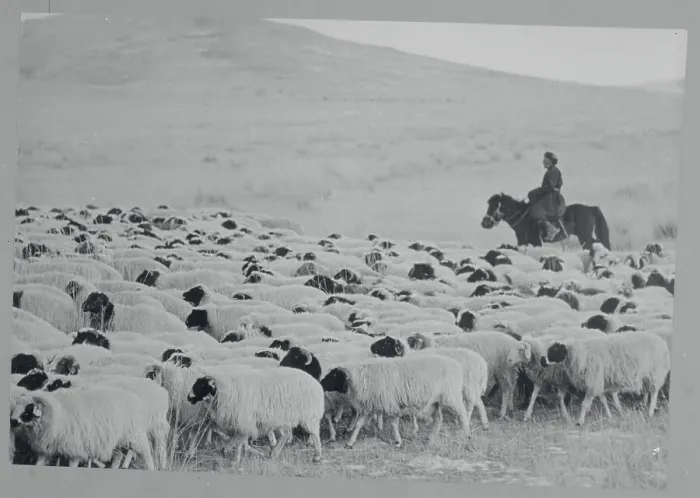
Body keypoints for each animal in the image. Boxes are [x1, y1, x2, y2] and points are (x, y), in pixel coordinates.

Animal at [10, 385, 156, 469]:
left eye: (27, 411)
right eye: (17, 406)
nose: (12, 421)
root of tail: (136, 399)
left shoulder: (74, 450)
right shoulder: (47, 450)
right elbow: (39, 464)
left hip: (135, 437)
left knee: (147, 455)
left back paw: (151, 468)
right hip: (118, 441)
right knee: (118, 457)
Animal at [186, 365, 325, 463]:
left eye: (202, 385)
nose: (189, 397)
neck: (227, 390)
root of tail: (315, 382)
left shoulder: (243, 421)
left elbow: (239, 440)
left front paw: (235, 459)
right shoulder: (240, 421)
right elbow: (236, 438)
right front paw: (226, 449)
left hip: (309, 416)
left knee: (315, 435)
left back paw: (317, 456)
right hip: (283, 419)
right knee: (285, 435)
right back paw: (273, 453)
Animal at [320, 354, 470, 449]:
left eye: (334, 375)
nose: (320, 383)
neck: (362, 378)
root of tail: (457, 365)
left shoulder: (391, 404)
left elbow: (393, 425)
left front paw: (398, 442)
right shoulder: (370, 406)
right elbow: (358, 425)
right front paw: (350, 443)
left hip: (451, 395)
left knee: (462, 413)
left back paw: (465, 433)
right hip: (436, 400)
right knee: (439, 419)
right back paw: (431, 438)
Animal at [541, 331, 671, 425]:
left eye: (555, 350)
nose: (542, 361)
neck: (581, 353)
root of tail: (662, 342)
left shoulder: (593, 381)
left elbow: (584, 404)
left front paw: (579, 421)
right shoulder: (599, 382)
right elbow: (603, 400)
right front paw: (609, 415)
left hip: (655, 372)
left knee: (654, 392)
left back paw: (650, 412)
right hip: (647, 375)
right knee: (648, 390)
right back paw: (644, 405)